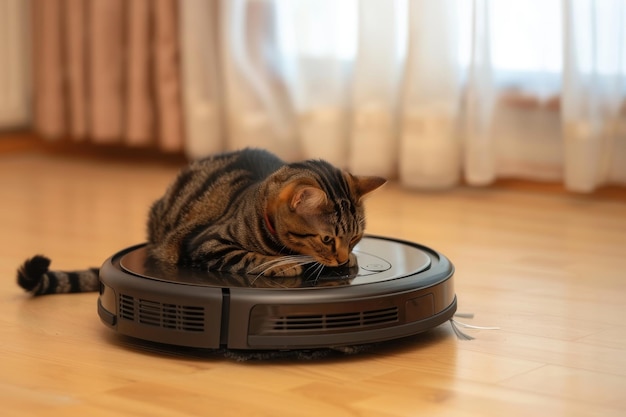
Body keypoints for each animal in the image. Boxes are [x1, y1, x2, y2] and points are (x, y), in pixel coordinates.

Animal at [15, 148, 386, 294]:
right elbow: (250, 257)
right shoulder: (207, 244)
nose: (342, 257)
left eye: (355, 239)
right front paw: (283, 264)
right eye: (327, 239)